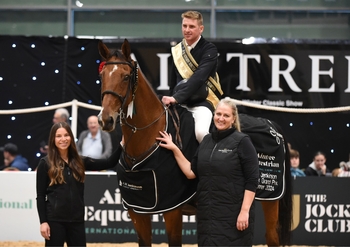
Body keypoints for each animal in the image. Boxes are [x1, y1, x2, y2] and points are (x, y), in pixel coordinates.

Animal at [96, 39, 292, 246]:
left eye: (125, 77)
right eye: (102, 75)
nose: (105, 119)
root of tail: (271, 124)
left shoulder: (172, 210)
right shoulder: (138, 211)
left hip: (271, 200)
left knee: (272, 237)